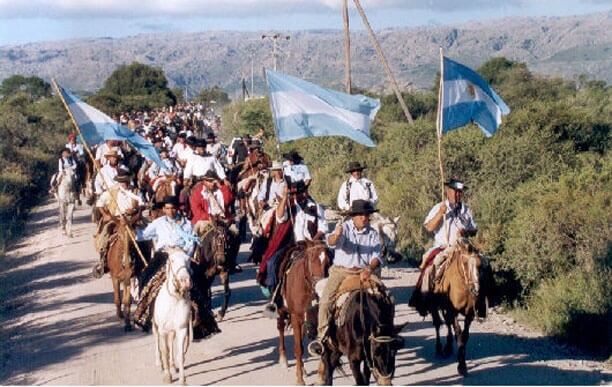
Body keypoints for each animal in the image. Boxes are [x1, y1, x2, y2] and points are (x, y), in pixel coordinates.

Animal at [152, 250, 192, 386]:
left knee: (171, 343)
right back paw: (159, 364)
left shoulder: (182, 329)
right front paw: (167, 376)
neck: (174, 299)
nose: (185, 281)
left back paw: (173, 366)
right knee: (157, 341)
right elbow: (165, 351)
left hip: (173, 330)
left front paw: (182, 379)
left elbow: (180, 354)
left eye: (188, 260)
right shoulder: (163, 330)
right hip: (155, 326)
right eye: (172, 260)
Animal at [276, 241, 332, 386]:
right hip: (281, 311)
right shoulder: (296, 317)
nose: (320, 287)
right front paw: (300, 380)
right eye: (311, 259)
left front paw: (320, 377)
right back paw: (283, 360)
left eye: (328, 261)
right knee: (281, 329)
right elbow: (298, 348)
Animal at [424, 238, 490, 378]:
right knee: (438, 324)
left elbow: (464, 335)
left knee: (447, 323)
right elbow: (458, 333)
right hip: (434, 306)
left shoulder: (469, 314)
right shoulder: (453, 311)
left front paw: (462, 361)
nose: (476, 290)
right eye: (465, 263)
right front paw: (462, 366)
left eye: (480, 265)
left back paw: (448, 347)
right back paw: (439, 349)